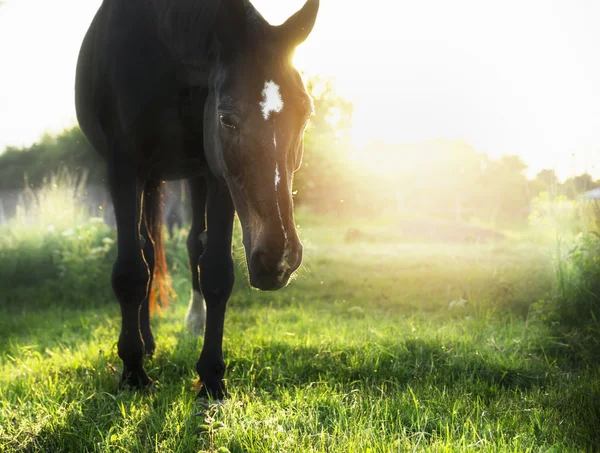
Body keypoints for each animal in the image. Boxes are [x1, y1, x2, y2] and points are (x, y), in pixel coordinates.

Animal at [76, 0, 318, 400]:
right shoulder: (123, 167)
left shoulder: (217, 174)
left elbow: (217, 271)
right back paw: (146, 342)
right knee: (147, 248)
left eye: (305, 112)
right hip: (147, 176)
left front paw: (211, 378)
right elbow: (130, 271)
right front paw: (133, 371)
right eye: (226, 118)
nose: (279, 258)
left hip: (193, 175)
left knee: (189, 244)